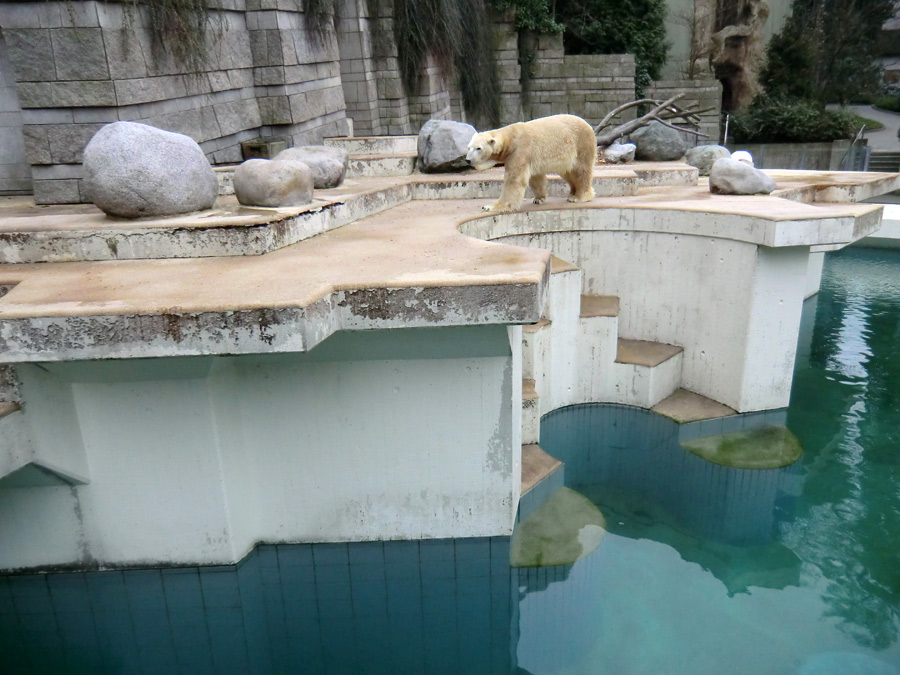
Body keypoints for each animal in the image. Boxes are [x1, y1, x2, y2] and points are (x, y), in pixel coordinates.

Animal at [464, 114, 596, 211]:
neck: (510, 138)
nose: (468, 160)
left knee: (580, 171)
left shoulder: (519, 151)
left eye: (478, 148)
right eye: (468, 147)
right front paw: (539, 199)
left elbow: (514, 180)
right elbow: (535, 177)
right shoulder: (529, 158)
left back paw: (580, 197)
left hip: (581, 145)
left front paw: (490, 206)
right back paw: (572, 193)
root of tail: (588, 125)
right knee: (568, 172)